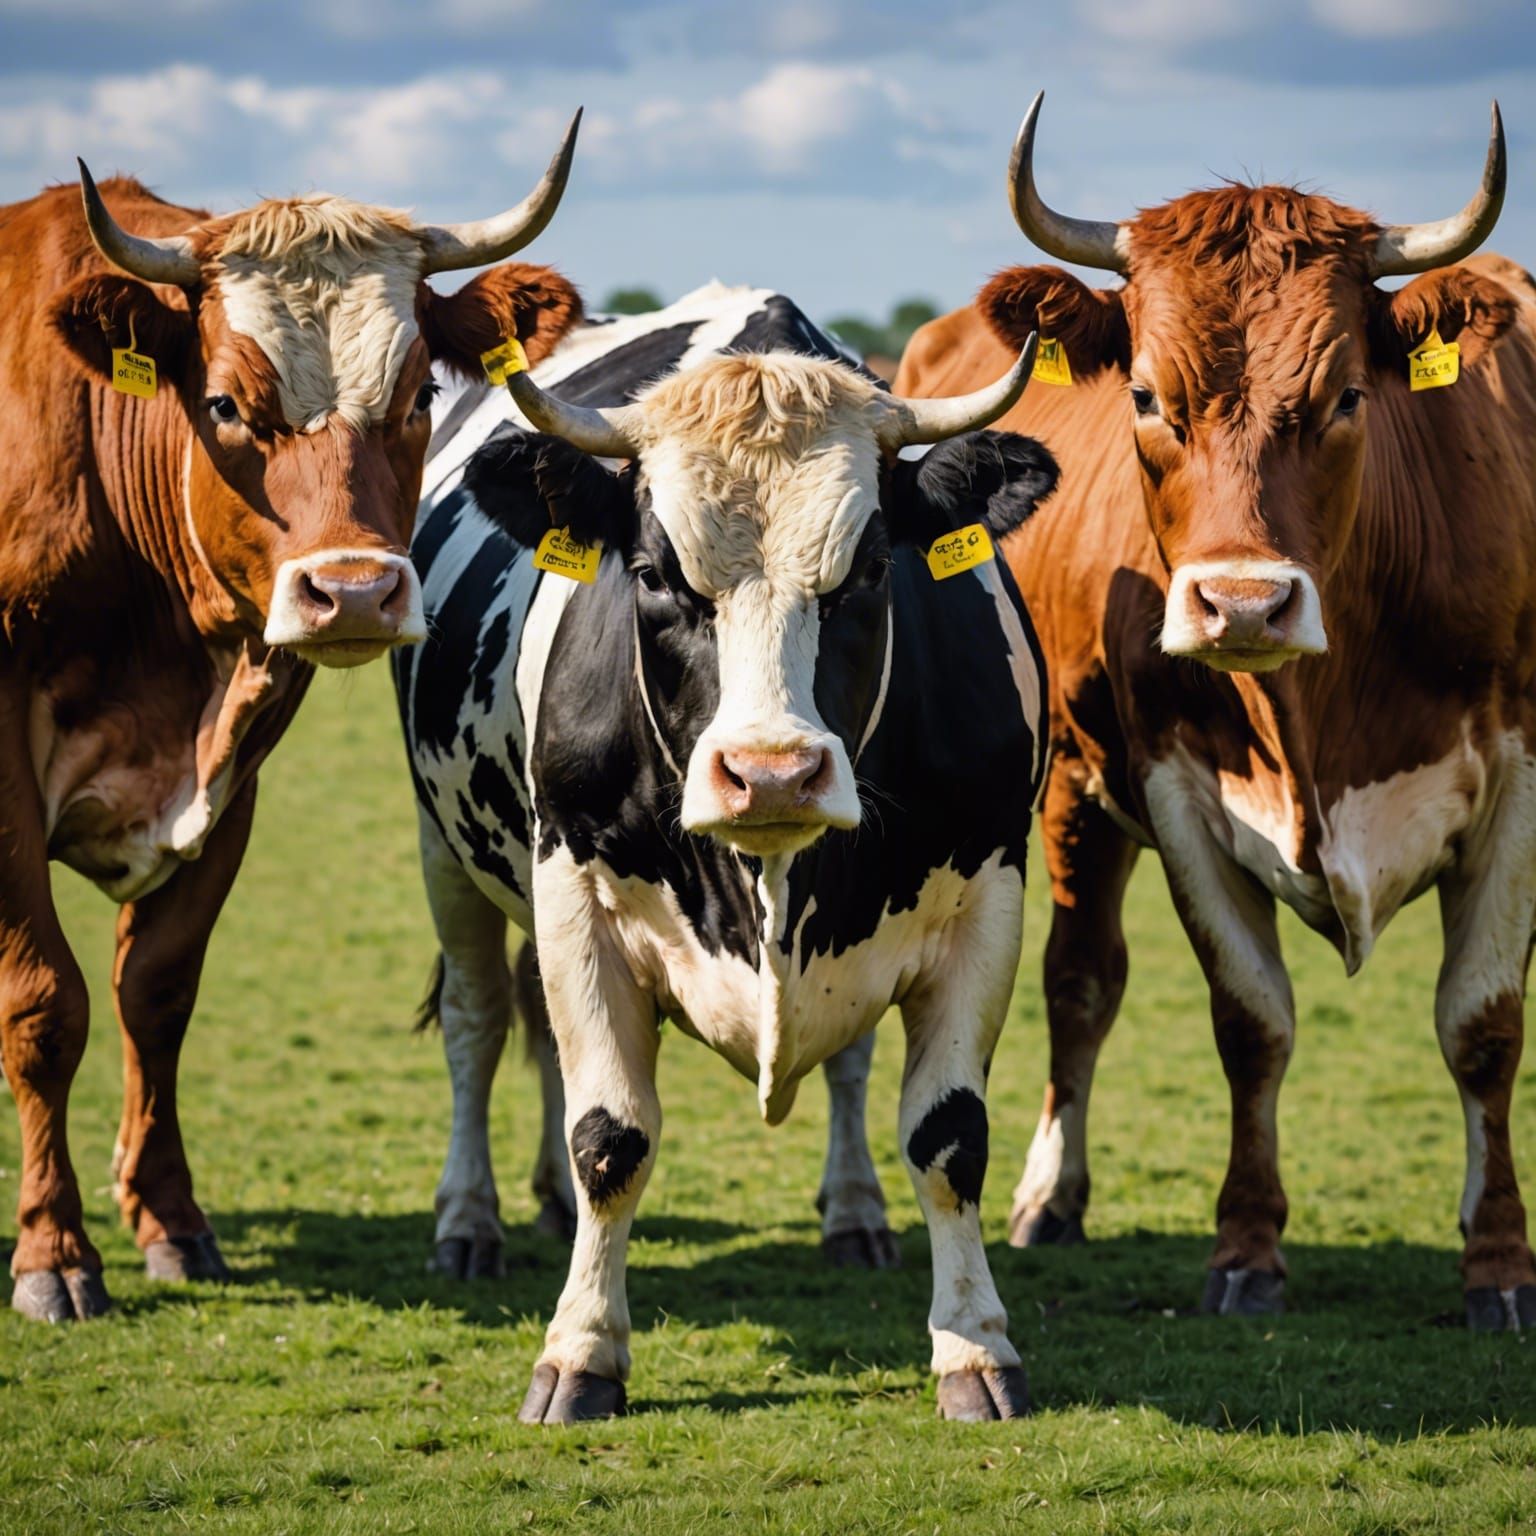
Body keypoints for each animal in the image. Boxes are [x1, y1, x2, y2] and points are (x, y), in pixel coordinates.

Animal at [1, 116, 588, 1323]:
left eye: (418, 398)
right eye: (228, 404)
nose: (355, 592)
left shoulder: (235, 768)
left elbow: (155, 992)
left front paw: (169, 1220)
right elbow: (42, 1002)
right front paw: (53, 1252)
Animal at [394, 290, 1061, 1421]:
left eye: (869, 571)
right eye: (656, 575)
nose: (773, 773)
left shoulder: (990, 897)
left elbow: (949, 1136)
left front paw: (974, 1349)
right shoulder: (573, 896)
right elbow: (609, 1136)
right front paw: (579, 1354)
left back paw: (851, 1215)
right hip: (451, 860)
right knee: (478, 1027)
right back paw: (469, 1222)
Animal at [893, 93, 1536, 1329]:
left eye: (1344, 396)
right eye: (1147, 397)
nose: (1242, 600)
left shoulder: (1522, 778)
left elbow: (1481, 1026)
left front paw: (1499, 1263)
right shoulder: (1174, 783)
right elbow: (1251, 1020)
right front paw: (1247, 1247)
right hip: (1067, 791)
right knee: (1081, 985)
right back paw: (1051, 1198)